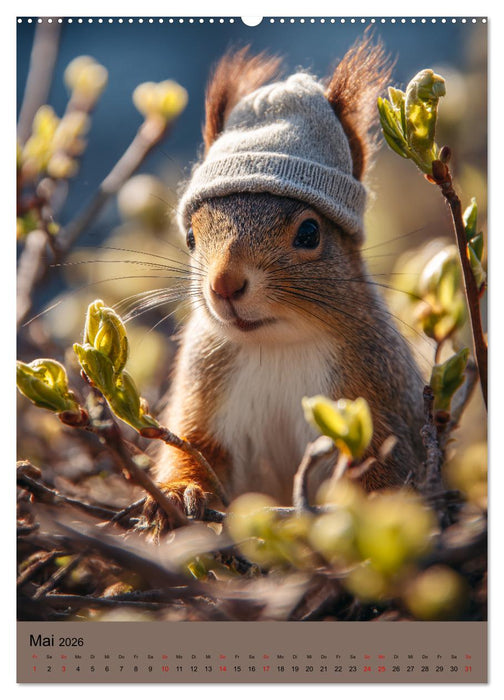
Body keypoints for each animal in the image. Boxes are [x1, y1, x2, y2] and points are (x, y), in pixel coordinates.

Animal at [143, 37, 426, 529]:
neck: (276, 345)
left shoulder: (377, 397)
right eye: (192, 237)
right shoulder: (203, 387)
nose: (225, 284)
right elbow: (194, 449)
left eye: (310, 233)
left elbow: (387, 476)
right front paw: (179, 493)